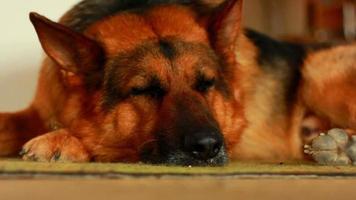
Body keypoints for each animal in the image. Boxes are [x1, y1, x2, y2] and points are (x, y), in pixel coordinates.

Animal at [0, 0, 356, 166]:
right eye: (145, 90)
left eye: (206, 84)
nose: (208, 147)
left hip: (317, 70)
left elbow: (106, 144)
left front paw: (65, 140)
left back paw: (342, 146)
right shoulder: (35, 112)